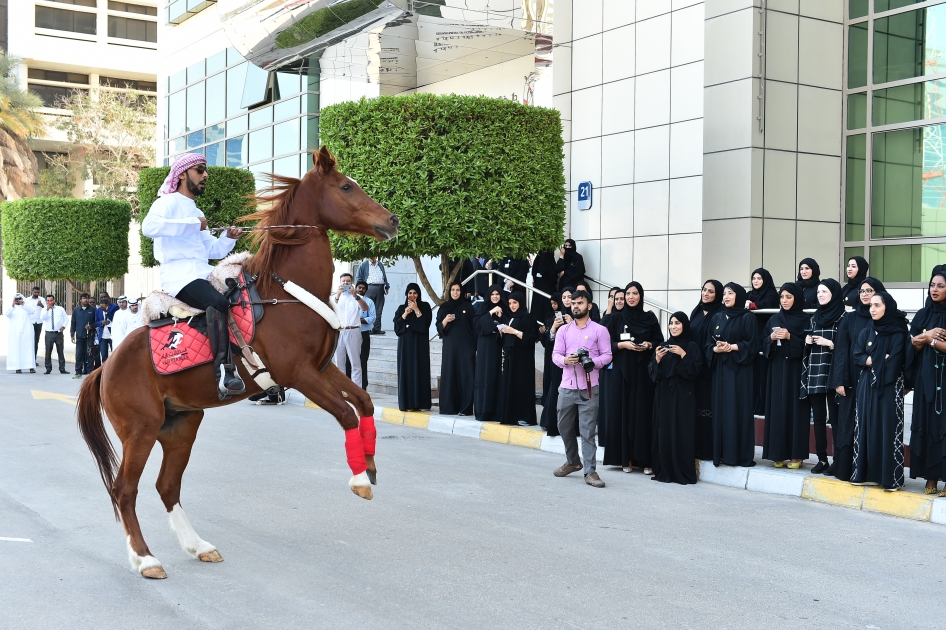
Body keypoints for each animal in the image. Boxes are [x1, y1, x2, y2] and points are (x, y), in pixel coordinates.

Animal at [76, 146, 398, 579]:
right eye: (346, 186)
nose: (392, 220)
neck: (285, 294)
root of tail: (104, 367)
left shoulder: (322, 368)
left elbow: (363, 401)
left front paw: (371, 461)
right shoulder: (298, 374)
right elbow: (345, 412)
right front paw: (360, 478)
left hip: (181, 426)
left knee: (167, 486)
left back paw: (198, 546)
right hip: (140, 432)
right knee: (124, 490)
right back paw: (146, 559)